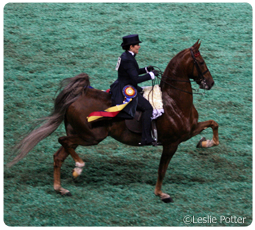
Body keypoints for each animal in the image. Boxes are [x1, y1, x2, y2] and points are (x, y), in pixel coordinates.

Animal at [7, 40, 219, 202]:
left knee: (59, 155)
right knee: (62, 142)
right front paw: (161, 194)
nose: (210, 83)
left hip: (79, 134)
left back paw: (61, 188)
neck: (173, 101)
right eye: (201, 62)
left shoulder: (189, 130)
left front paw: (205, 143)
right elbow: (162, 170)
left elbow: (213, 123)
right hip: (91, 137)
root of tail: (79, 95)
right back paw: (78, 168)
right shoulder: (171, 143)